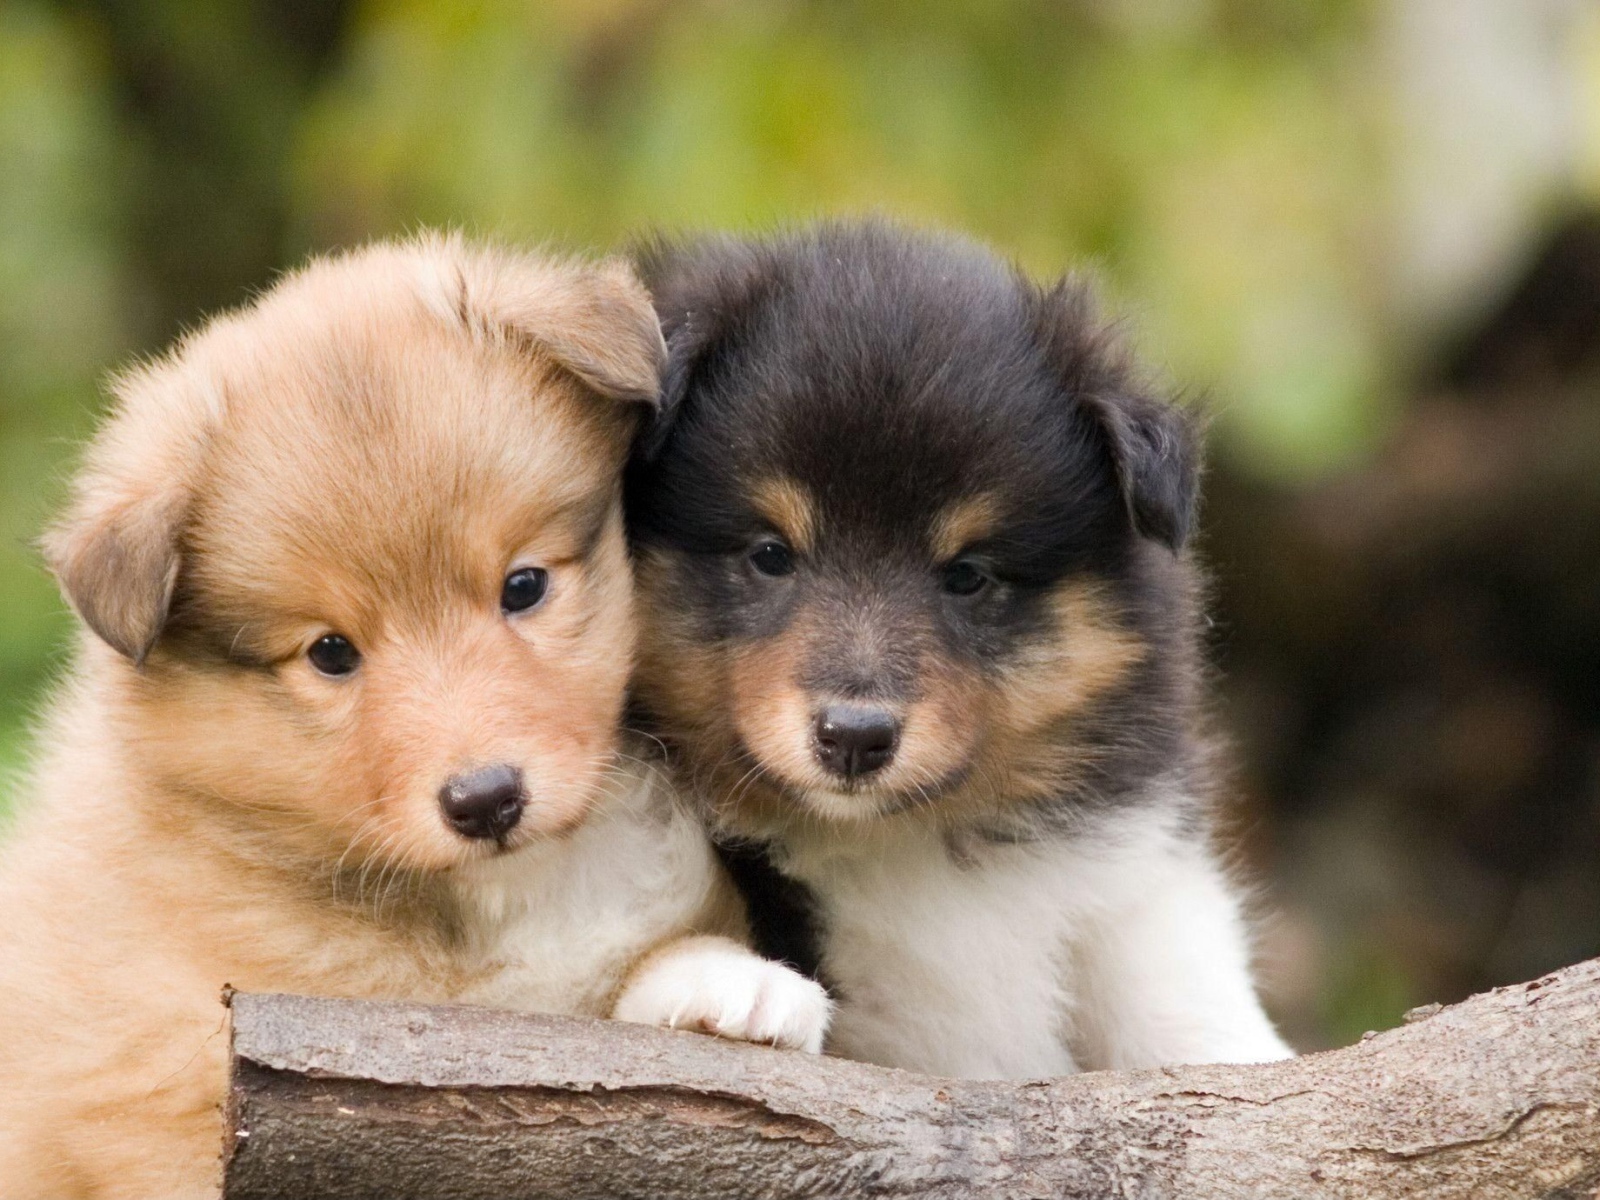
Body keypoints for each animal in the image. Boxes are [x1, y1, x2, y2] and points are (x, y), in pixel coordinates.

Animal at [624, 224, 1286, 1081]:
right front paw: (721, 984)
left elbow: (1185, 1002)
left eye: (968, 574)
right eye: (769, 554)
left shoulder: (1135, 877)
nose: (855, 737)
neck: (901, 840)